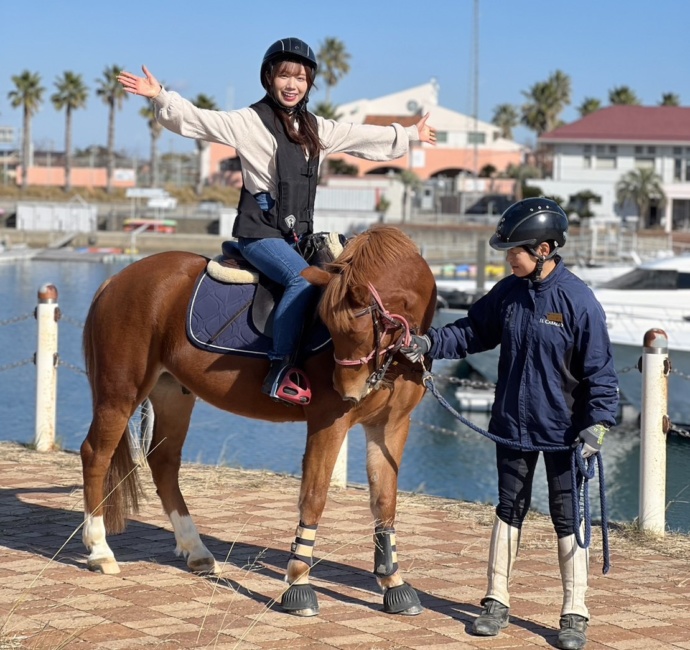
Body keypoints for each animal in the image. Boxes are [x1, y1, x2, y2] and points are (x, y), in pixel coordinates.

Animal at [79, 223, 436, 612]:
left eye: (356, 329)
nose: (347, 390)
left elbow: (385, 501)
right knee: (96, 454)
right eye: (331, 326)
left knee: (163, 461)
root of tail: (116, 280)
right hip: (121, 391)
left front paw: (393, 584)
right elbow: (314, 496)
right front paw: (299, 583)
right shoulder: (329, 421)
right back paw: (100, 550)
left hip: (172, 392)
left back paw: (196, 550)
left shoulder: (390, 426)